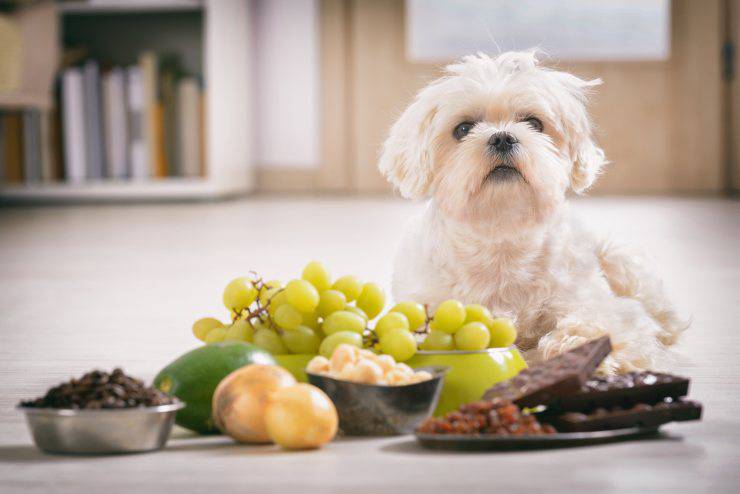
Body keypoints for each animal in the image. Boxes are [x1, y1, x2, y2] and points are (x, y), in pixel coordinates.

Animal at [378, 52, 684, 372]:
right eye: (462, 129)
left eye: (534, 123)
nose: (502, 137)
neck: (502, 234)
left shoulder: (601, 306)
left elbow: (600, 324)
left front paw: (578, 348)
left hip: (620, 262)